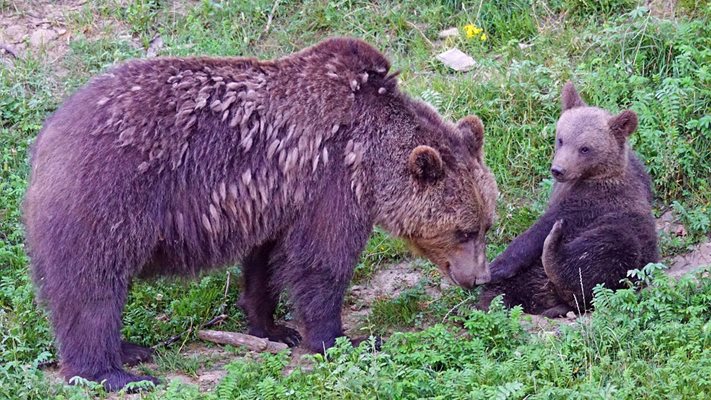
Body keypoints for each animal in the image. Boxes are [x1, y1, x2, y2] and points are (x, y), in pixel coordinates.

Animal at [23, 38, 500, 390]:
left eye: (486, 224)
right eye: (462, 231)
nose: (478, 277)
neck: (369, 154)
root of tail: (49, 134)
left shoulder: (278, 197)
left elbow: (267, 261)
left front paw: (271, 327)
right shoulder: (330, 182)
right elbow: (321, 261)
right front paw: (343, 337)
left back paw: (130, 349)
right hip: (111, 195)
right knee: (93, 285)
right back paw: (113, 373)